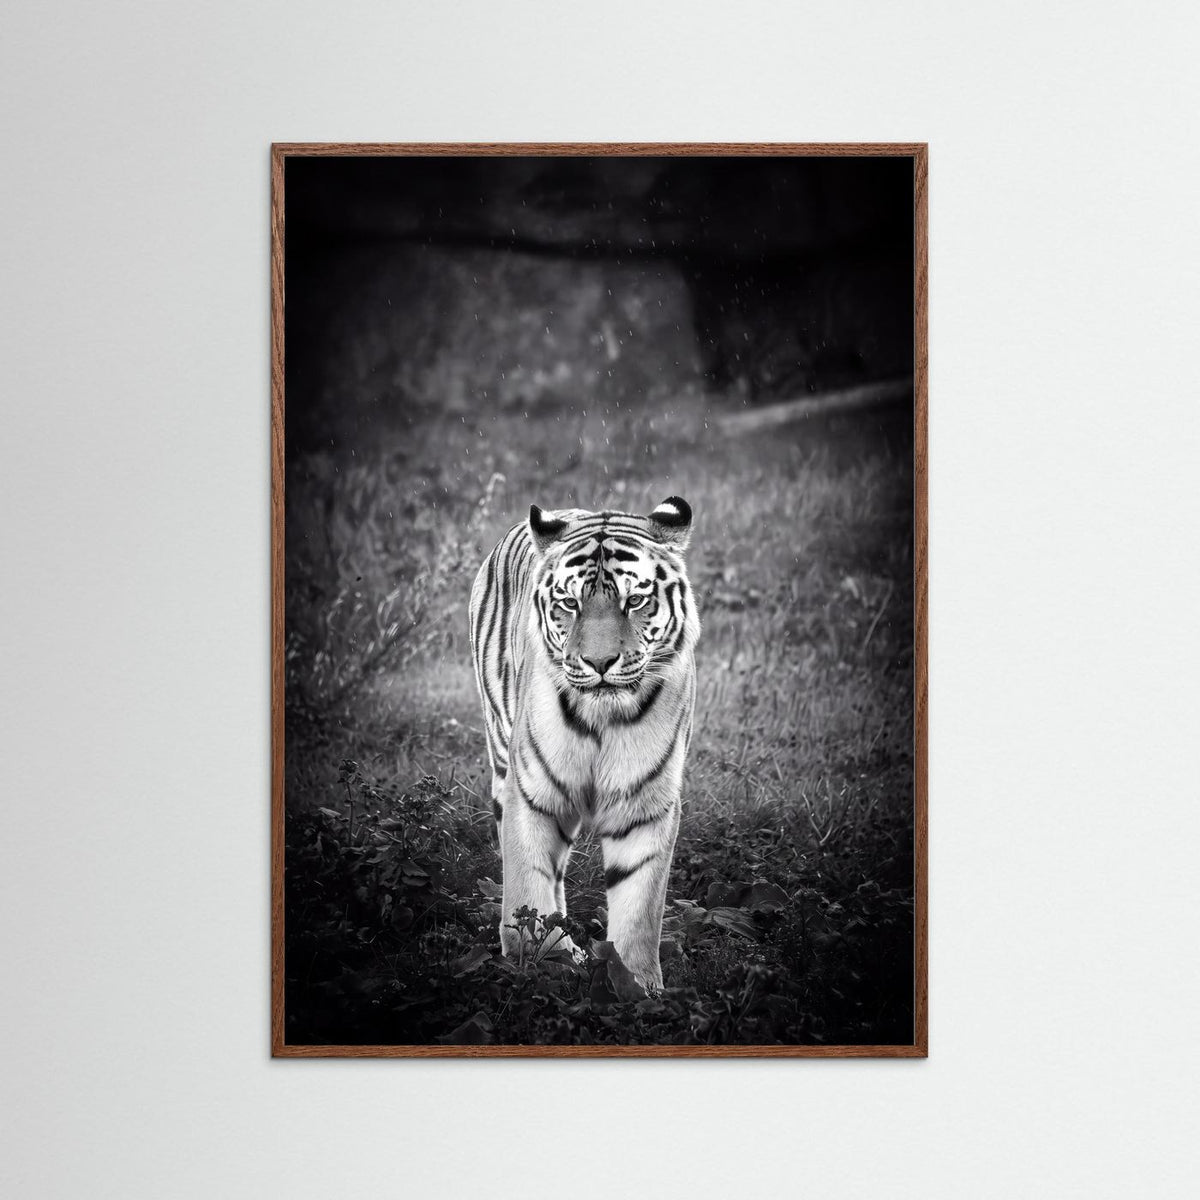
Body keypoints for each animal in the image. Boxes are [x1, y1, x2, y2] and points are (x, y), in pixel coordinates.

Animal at [467, 496, 699, 990]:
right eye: (570, 603)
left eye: (635, 601)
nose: (599, 662)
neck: (601, 718)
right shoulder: (531, 792)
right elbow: (527, 880)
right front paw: (540, 960)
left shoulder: (645, 804)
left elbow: (640, 906)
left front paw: (636, 985)